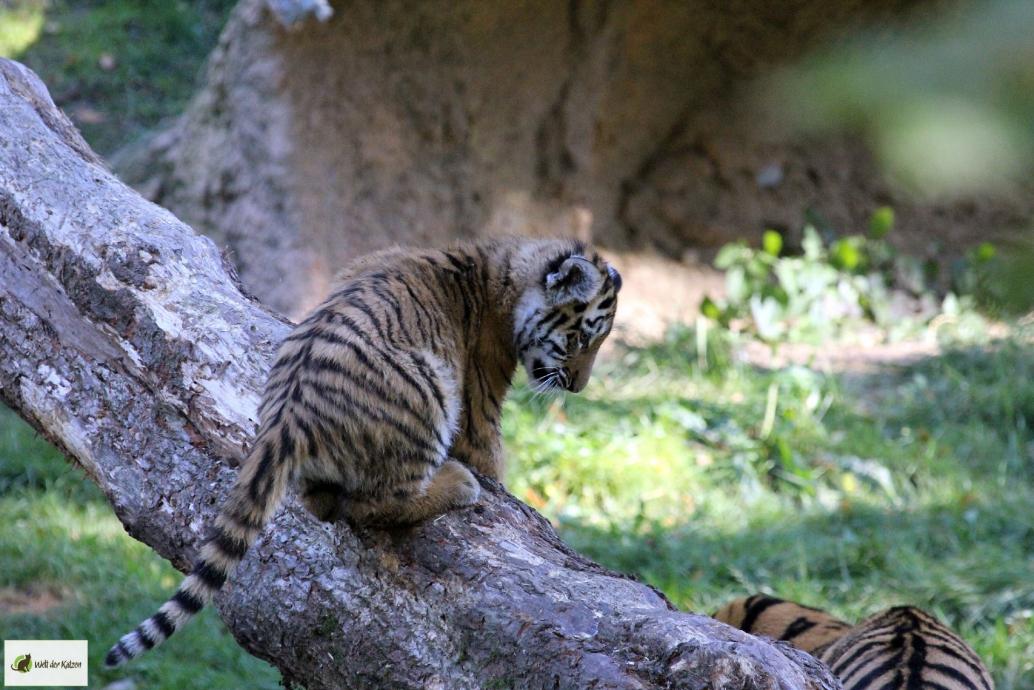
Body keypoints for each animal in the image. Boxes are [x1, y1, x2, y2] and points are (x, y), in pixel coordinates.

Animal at [104, 237, 622, 668]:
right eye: (581, 339)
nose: (579, 387)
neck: (504, 270)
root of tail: (284, 424)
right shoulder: (479, 399)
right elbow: (490, 455)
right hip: (432, 390)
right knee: (377, 503)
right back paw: (458, 484)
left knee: (323, 504)